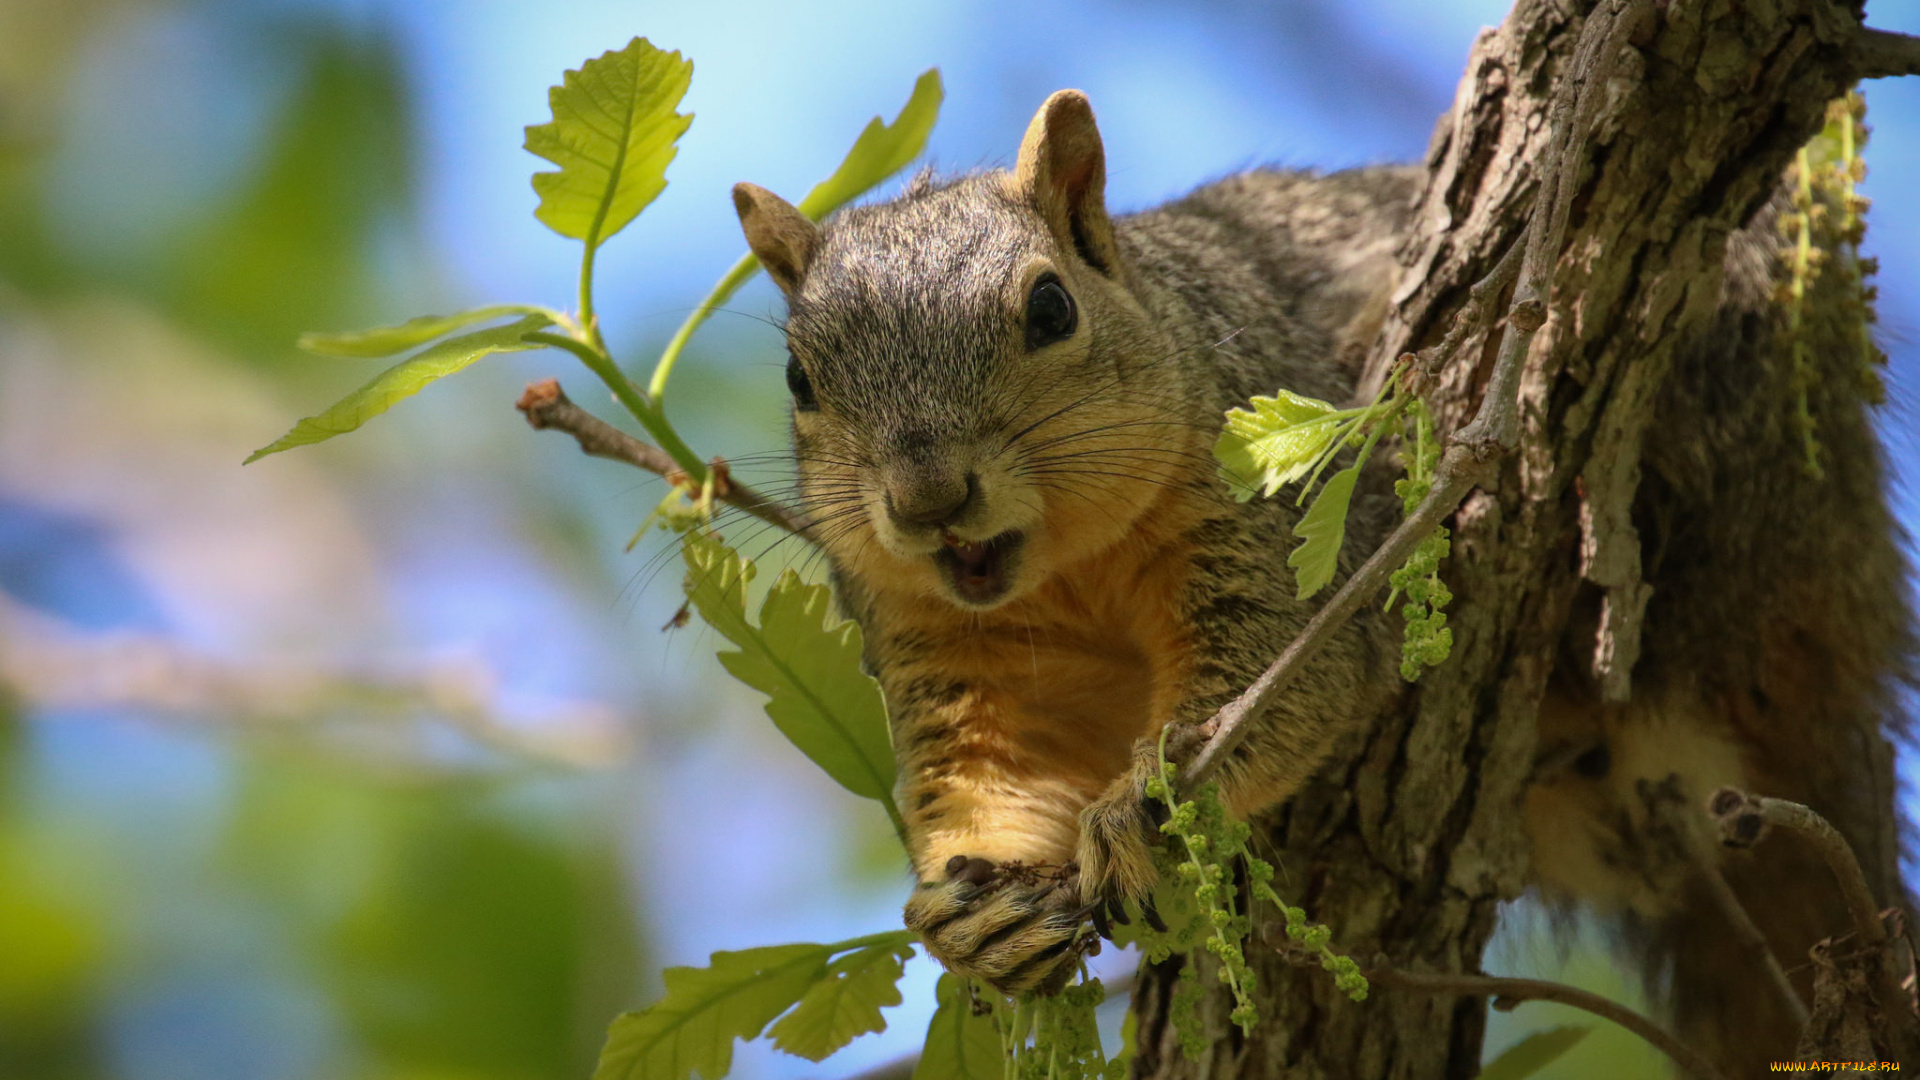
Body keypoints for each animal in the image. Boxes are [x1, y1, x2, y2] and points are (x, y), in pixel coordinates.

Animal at [729, 90, 1904, 1060]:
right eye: (797, 376)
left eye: (1051, 309)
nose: (927, 499)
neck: (1063, 570)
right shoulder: (941, 645)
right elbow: (988, 772)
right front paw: (978, 911)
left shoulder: (1264, 521)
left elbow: (1292, 676)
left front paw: (1151, 805)